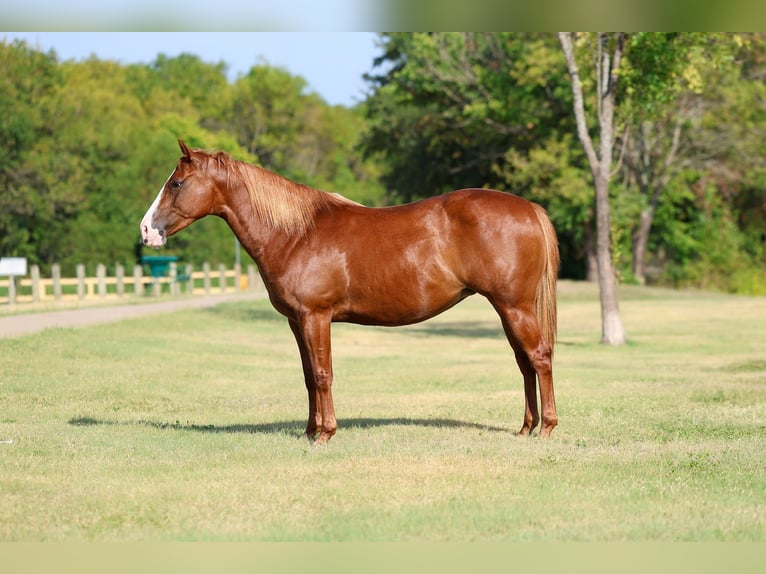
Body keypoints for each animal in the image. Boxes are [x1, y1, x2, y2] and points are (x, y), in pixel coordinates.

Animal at [140, 140, 559, 444]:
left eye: (176, 183)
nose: (146, 231)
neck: (296, 234)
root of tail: (529, 208)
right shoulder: (297, 322)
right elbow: (308, 375)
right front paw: (310, 431)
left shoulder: (316, 316)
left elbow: (323, 373)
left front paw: (325, 433)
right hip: (507, 308)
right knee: (524, 363)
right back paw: (526, 427)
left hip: (514, 306)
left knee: (538, 358)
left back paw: (547, 428)